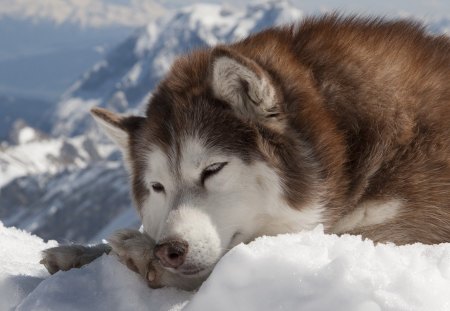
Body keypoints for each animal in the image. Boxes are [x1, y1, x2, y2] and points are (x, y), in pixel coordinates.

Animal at [41, 15, 450, 292]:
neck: (344, 141)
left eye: (213, 169)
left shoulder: (411, 231)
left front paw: (139, 253)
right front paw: (78, 253)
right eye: (157, 187)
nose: (168, 250)